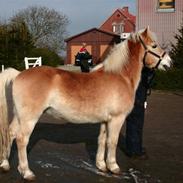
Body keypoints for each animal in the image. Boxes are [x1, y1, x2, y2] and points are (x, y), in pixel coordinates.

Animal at [0, 27, 172, 180]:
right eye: (154, 45)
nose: (169, 62)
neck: (120, 76)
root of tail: (18, 74)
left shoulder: (106, 120)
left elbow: (102, 140)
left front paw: (101, 165)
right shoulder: (117, 119)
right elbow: (112, 142)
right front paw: (114, 167)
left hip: (20, 116)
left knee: (10, 133)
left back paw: (5, 164)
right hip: (29, 118)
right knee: (22, 139)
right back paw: (26, 172)